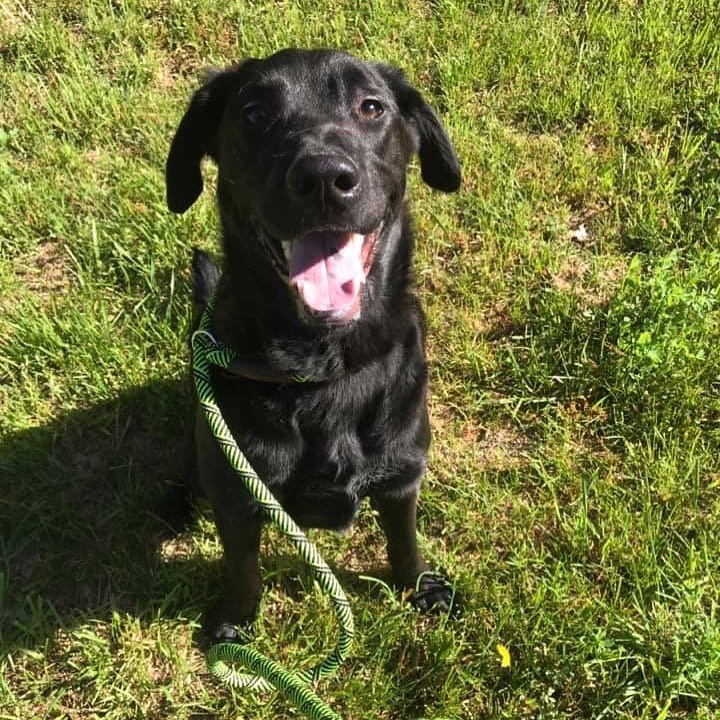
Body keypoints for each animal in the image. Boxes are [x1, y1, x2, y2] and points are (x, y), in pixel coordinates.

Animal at [165, 47, 462, 640]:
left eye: (371, 107)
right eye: (254, 113)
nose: (325, 177)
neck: (323, 366)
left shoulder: (402, 474)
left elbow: (404, 541)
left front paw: (419, 587)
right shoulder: (238, 495)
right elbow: (244, 569)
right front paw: (234, 623)